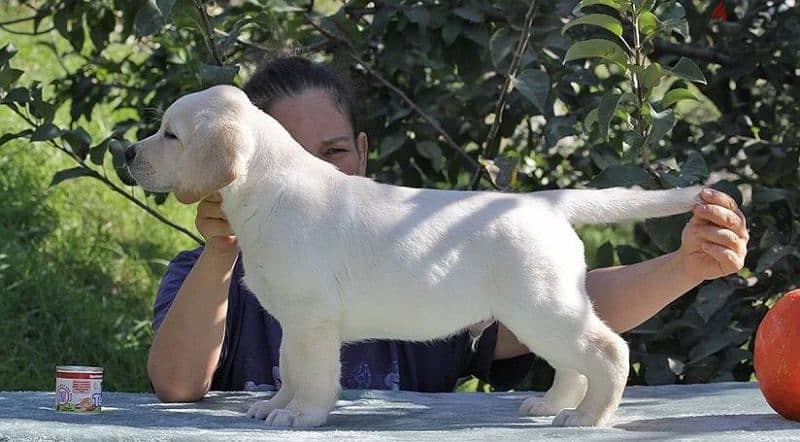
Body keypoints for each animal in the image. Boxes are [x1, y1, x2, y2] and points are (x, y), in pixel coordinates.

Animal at [128, 85, 704, 428]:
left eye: (171, 134)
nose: (128, 152)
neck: (269, 188)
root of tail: (545, 201)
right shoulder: (294, 321)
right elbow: (287, 369)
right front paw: (273, 405)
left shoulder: (313, 319)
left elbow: (311, 376)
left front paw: (301, 416)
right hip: (540, 313)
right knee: (572, 364)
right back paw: (551, 405)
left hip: (542, 307)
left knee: (608, 351)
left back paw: (587, 418)